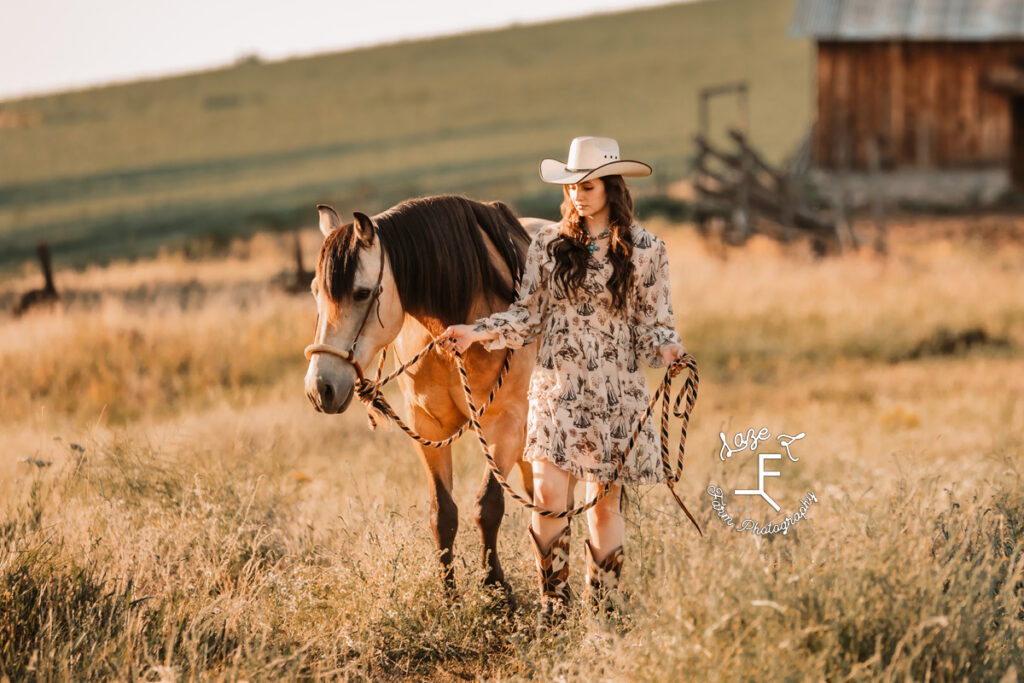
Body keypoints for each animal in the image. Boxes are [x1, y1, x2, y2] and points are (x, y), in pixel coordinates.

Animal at [305, 194, 552, 593]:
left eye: (361, 293)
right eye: (315, 291)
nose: (320, 388)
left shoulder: (505, 424)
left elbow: (489, 506)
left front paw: (496, 590)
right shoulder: (427, 427)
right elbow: (443, 513)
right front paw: (450, 595)